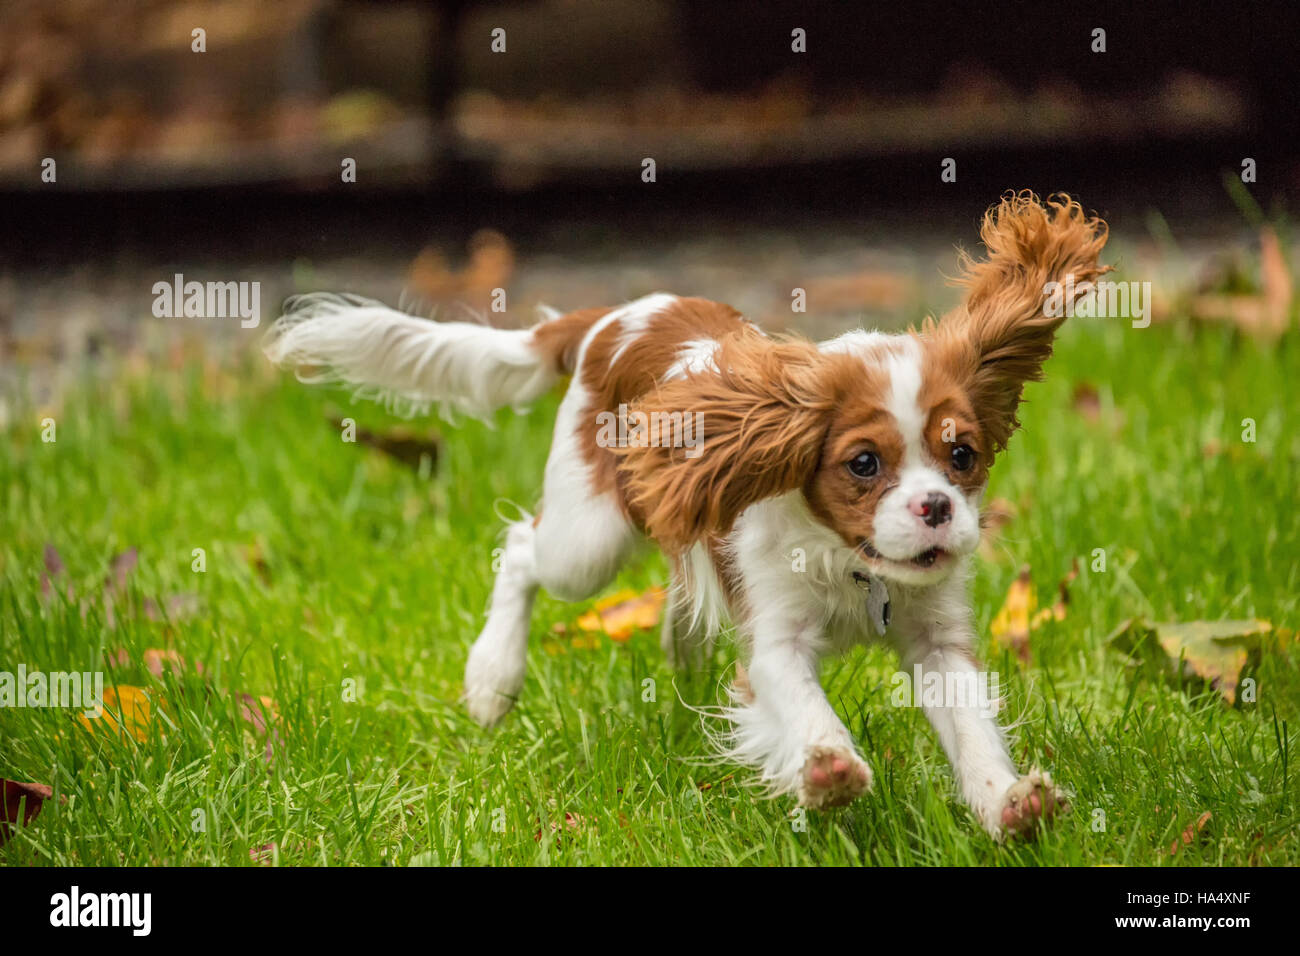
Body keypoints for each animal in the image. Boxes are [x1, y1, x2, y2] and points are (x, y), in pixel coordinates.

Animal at [263, 192, 1107, 837]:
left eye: (961, 455)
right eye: (864, 464)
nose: (936, 507)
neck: (852, 566)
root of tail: (610, 318)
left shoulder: (937, 641)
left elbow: (971, 730)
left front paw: (1009, 805)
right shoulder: (776, 640)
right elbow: (803, 707)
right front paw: (827, 772)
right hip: (589, 539)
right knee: (523, 549)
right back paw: (492, 678)